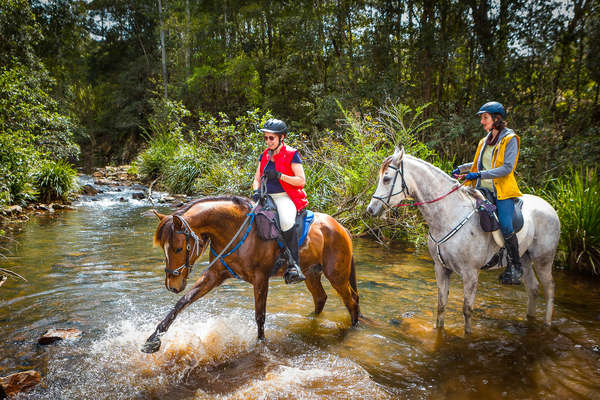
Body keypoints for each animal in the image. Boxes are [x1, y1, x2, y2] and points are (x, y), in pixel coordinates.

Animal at [141, 195, 358, 352]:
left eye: (178, 248)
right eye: (163, 249)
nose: (172, 285)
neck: (234, 228)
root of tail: (341, 227)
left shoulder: (261, 279)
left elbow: (260, 316)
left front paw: (261, 345)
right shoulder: (214, 276)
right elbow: (182, 302)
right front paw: (152, 340)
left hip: (336, 275)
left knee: (351, 300)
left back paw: (353, 330)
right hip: (312, 274)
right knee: (321, 298)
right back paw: (310, 320)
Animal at [368, 148, 560, 334]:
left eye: (386, 178)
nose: (370, 209)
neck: (448, 216)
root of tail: (549, 207)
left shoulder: (470, 273)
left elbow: (467, 310)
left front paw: (467, 336)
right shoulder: (441, 268)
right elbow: (441, 306)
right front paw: (438, 330)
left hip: (543, 260)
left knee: (550, 289)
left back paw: (547, 323)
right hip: (525, 258)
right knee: (533, 289)